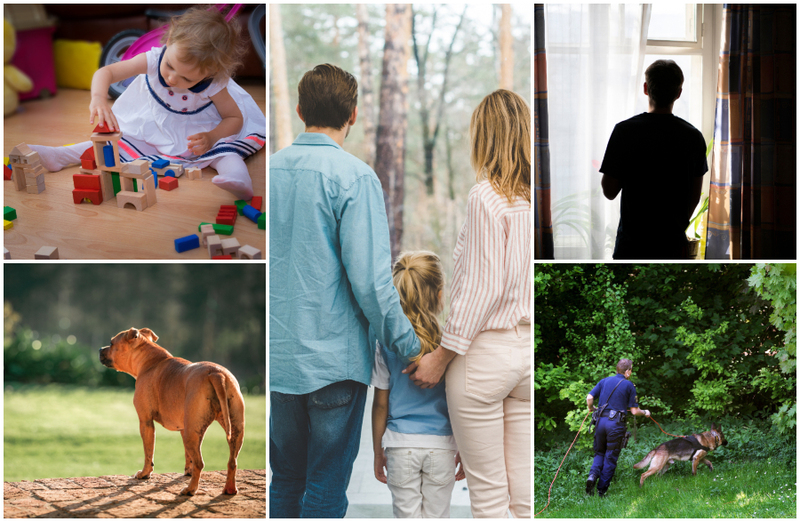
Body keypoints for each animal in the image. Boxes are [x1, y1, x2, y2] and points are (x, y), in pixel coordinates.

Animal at [100, 328, 244, 494]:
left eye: (111, 343)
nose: (100, 349)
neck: (151, 362)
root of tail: (216, 373)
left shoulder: (146, 422)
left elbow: (148, 453)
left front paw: (144, 474)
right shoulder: (183, 428)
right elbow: (188, 456)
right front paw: (188, 472)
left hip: (192, 433)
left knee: (200, 463)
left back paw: (190, 490)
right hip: (232, 430)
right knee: (232, 462)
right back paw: (229, 489)